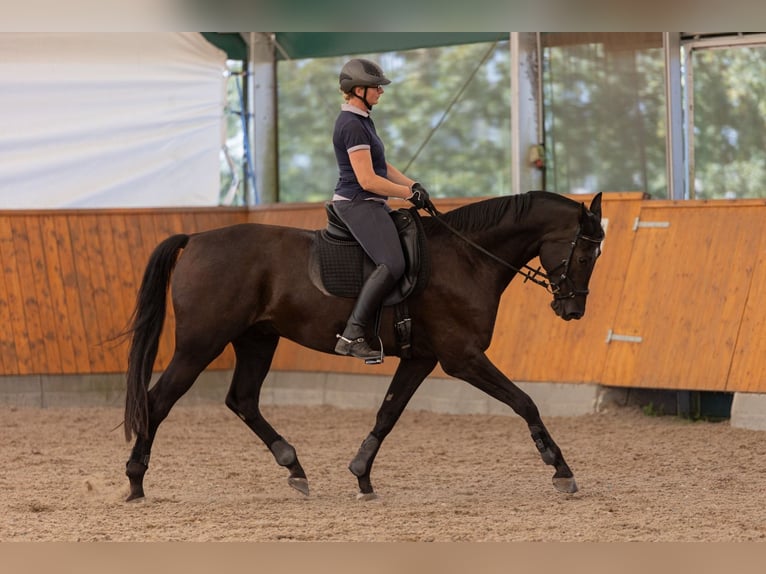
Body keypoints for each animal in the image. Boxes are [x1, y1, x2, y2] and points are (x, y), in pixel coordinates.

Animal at [124, 191, 608, 502]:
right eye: (586, 256)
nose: (572, 309)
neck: (467, 257)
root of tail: (196, 240)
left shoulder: (422, 358)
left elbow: (387, 414)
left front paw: (362, 477)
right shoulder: (461, 357)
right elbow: (524, 401)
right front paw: (561, 469)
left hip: (257, 339)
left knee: (242, 400)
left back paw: (294, 467)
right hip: (199, 345)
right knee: (158, 401)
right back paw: (135, 482)